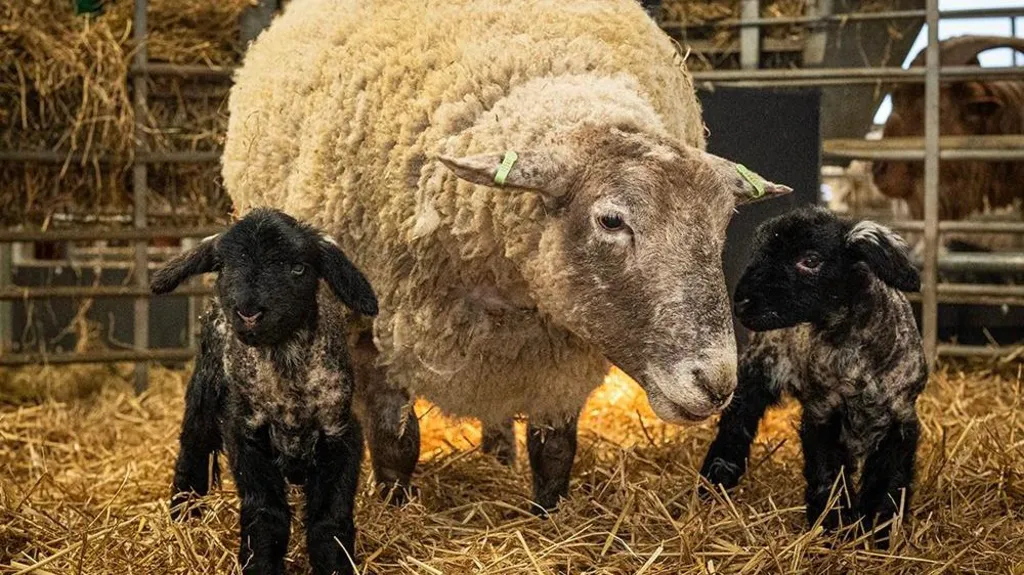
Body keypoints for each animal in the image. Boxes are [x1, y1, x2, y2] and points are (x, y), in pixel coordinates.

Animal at [151, 208, 379, 575]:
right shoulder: (246, 435)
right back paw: (184, 516)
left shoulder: (341, 434)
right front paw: (259, 563)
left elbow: (329, 521)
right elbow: (266, 516)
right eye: (224, 265)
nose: (249, 312)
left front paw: (336, 564)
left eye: (298, 268)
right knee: (194, 445)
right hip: (205, 384)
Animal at [222, 0, 791, 513]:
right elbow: (395, 443)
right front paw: (395, 509)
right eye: (611, 221)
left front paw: (548, 516)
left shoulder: (559, 355)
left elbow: (555, 450)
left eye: (722, 223)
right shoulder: (373, 331)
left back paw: (498, 457)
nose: (717, 384)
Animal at [699, 206, 927, 548]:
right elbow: (827, 475)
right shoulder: (822, 413)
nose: (741, 302)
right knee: (737, 422)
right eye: (759, 253)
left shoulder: (900, 419)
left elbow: (888, 482)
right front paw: (835, 528)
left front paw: (877, 534)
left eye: (811, 259)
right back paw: (716, 478)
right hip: (758, 367)